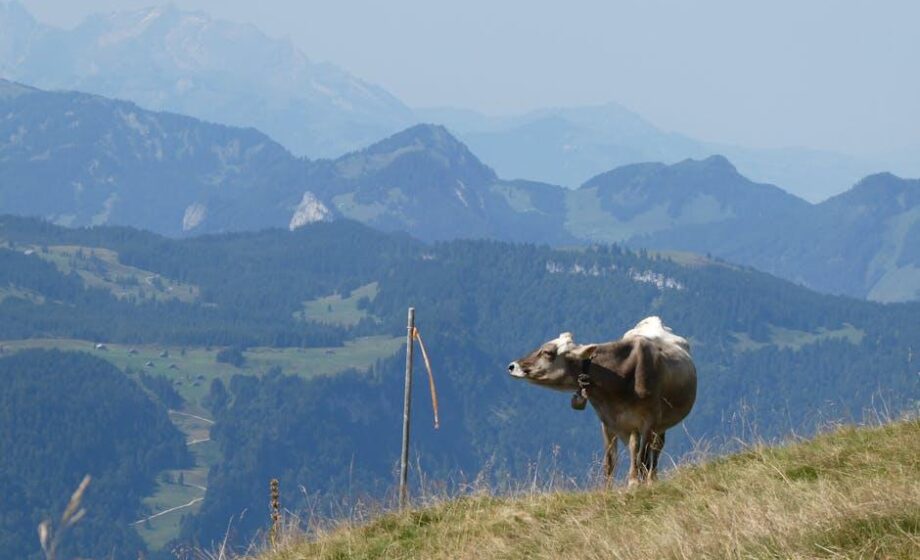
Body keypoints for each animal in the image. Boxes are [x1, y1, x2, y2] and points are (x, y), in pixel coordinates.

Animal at [507, 317, 697, 487]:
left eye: (547, 352)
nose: (512, 366)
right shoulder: (608, 422)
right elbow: (610, 462)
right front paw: (609, 489)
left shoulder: (649, 420)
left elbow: (642, 457)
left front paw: (638, 483)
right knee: (636, 447)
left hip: (659, 423)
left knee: (655, 449)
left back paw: (650, 479)